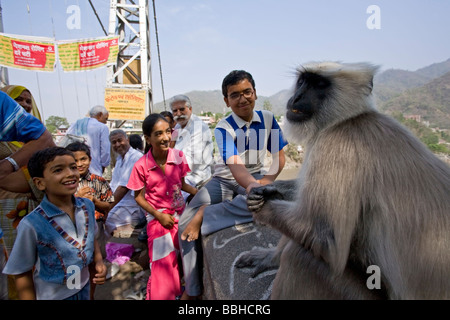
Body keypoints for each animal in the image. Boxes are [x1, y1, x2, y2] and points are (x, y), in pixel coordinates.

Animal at [236, 62, 450, 300]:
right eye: (302, 82)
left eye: (319, 84)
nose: (297, 97)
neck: (348, 120)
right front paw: (266, 191)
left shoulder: (337, 144)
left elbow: (325, 236)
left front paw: (262, 206)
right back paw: (272, 257)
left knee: (300, 257)